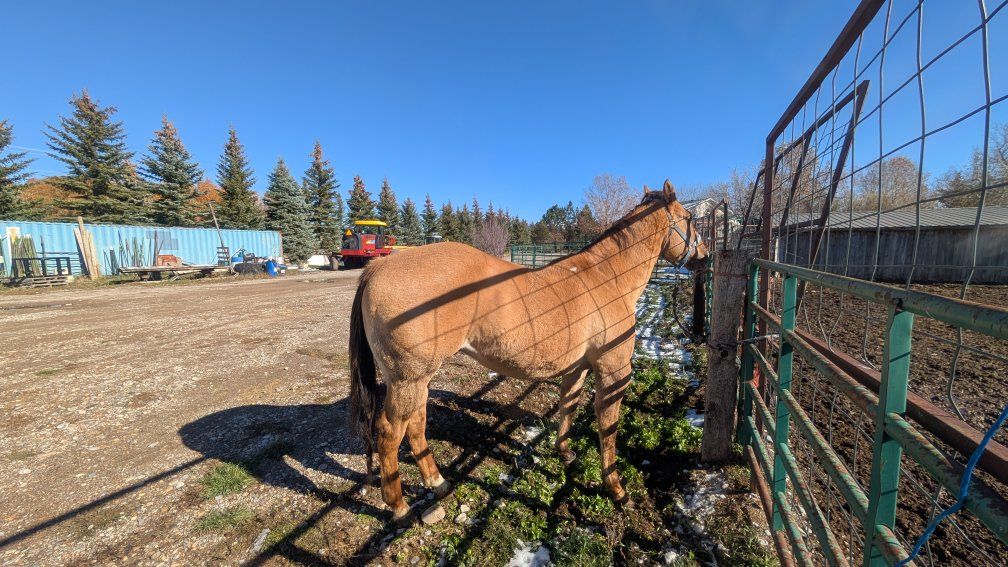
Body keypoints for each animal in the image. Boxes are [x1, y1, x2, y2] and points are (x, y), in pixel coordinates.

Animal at [348, 180, 709, 523]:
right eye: (690, 219)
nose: (705, 257)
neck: (606, 276)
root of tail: (377, 269)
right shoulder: (614, 371)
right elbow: (608, 428)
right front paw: (617, 490)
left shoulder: (577, 367)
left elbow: (568, 405)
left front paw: (564, 452)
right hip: (408, 380)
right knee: (390, 433)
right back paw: (400, 506)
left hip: (417, 380)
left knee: (416, 426)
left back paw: (437, 483)